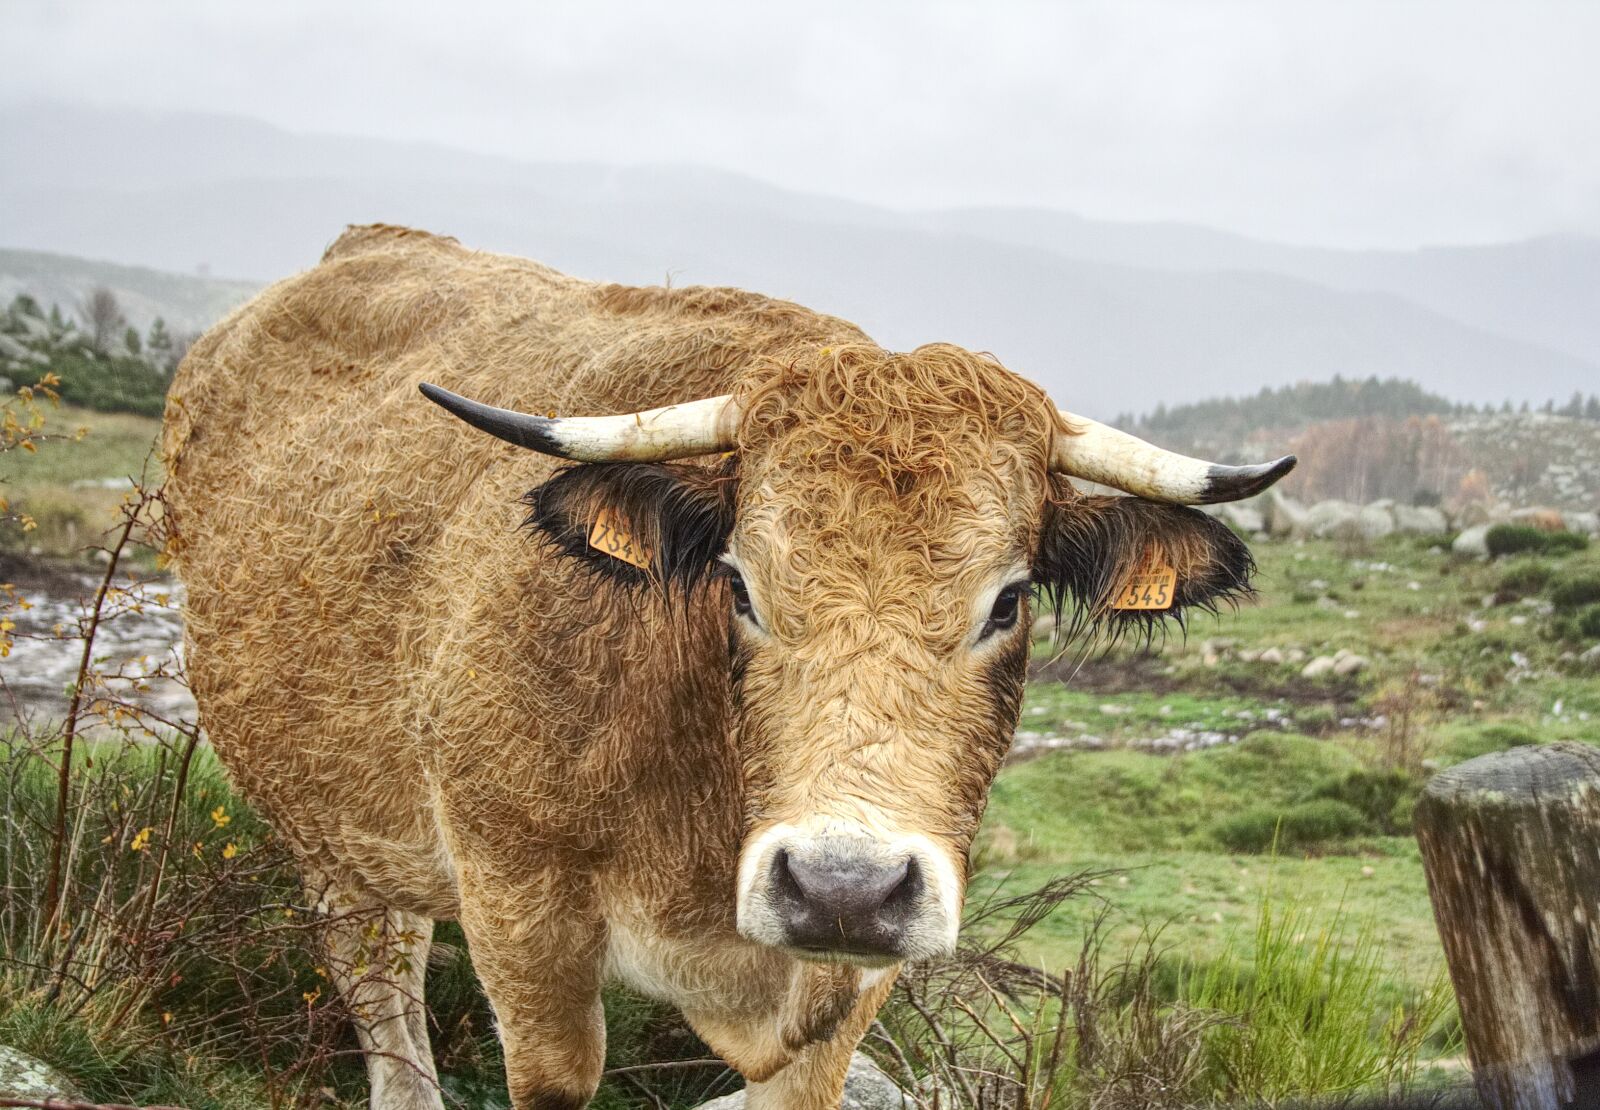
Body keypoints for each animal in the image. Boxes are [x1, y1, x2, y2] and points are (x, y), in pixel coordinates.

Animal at [159, 228, 1286, 1110]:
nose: (841, 886)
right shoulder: (518, 914)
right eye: (738, 585)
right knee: (379, 986)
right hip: (329, 823)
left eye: (1006, 602)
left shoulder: (843, 996)